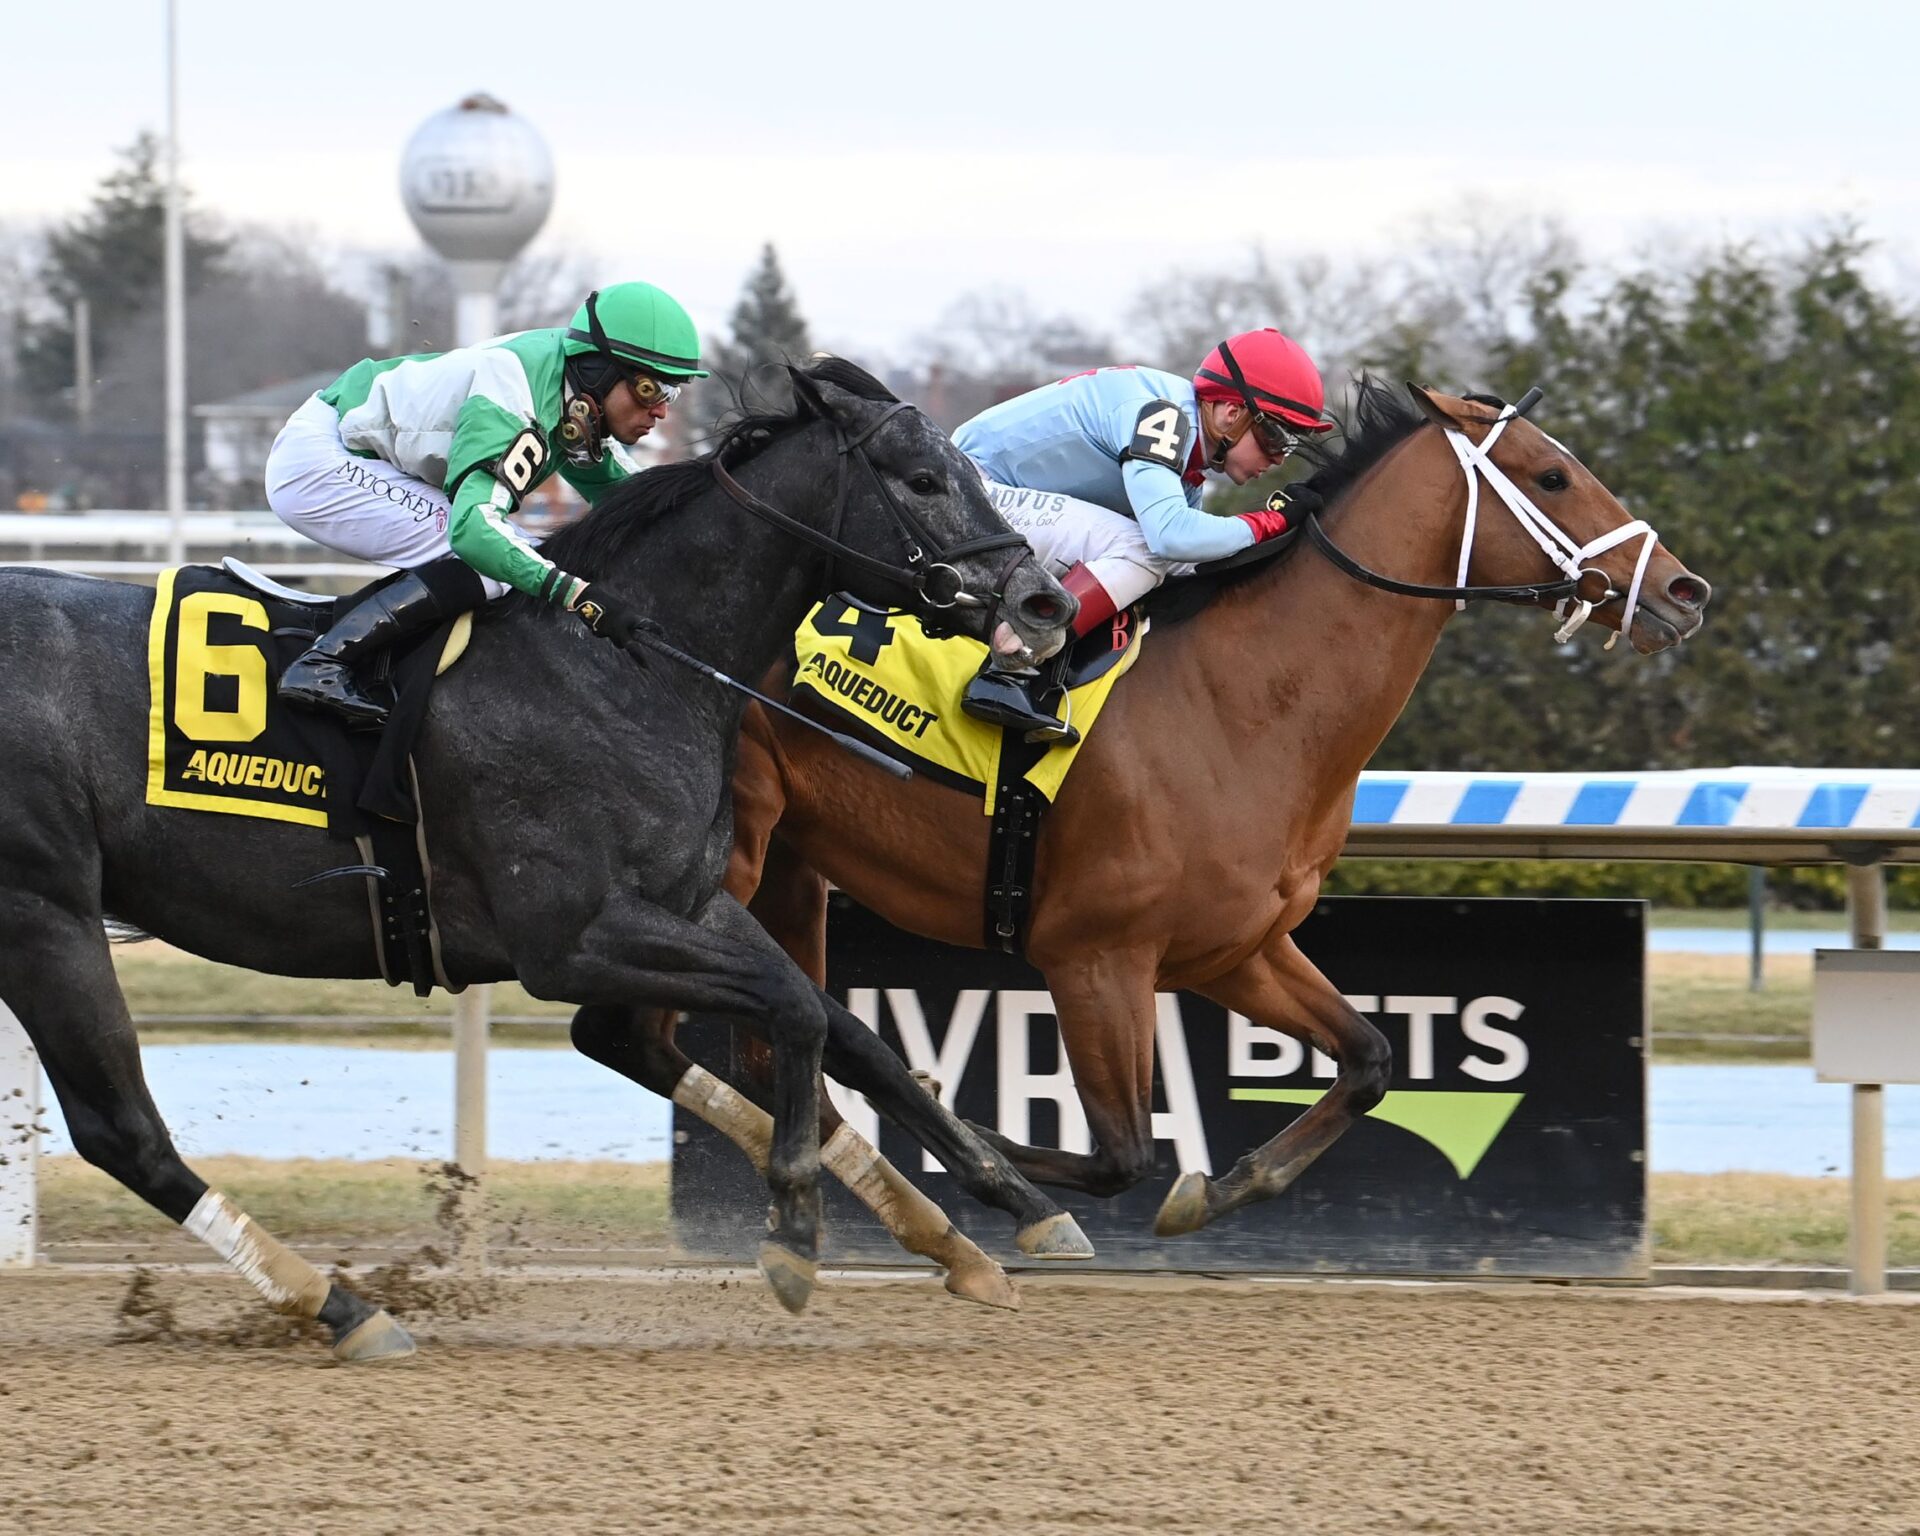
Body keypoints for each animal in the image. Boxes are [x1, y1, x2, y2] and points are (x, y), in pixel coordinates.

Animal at [0, 357, 1084, 1358]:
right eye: (923, 479)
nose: (1044, 603)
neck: (621, 667)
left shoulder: (683, 904)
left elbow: (839, 1030)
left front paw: (1005, 1213)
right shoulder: (569, 937)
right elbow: (791, 1012)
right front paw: (793, 1234)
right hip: (45, 911)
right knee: (122, 1131)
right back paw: (344, 1308)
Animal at [678, 379, 1712, 1252]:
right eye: (1553, 474)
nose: (1684, 590)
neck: (1243, 702)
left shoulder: (1235, 948)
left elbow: (1370, 1058)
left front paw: (1225, 1187)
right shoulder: (1095, 957)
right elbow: (1119, 1152)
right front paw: (984, 1147)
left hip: (793, 867)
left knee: (770, 1046)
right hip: (739, 857)